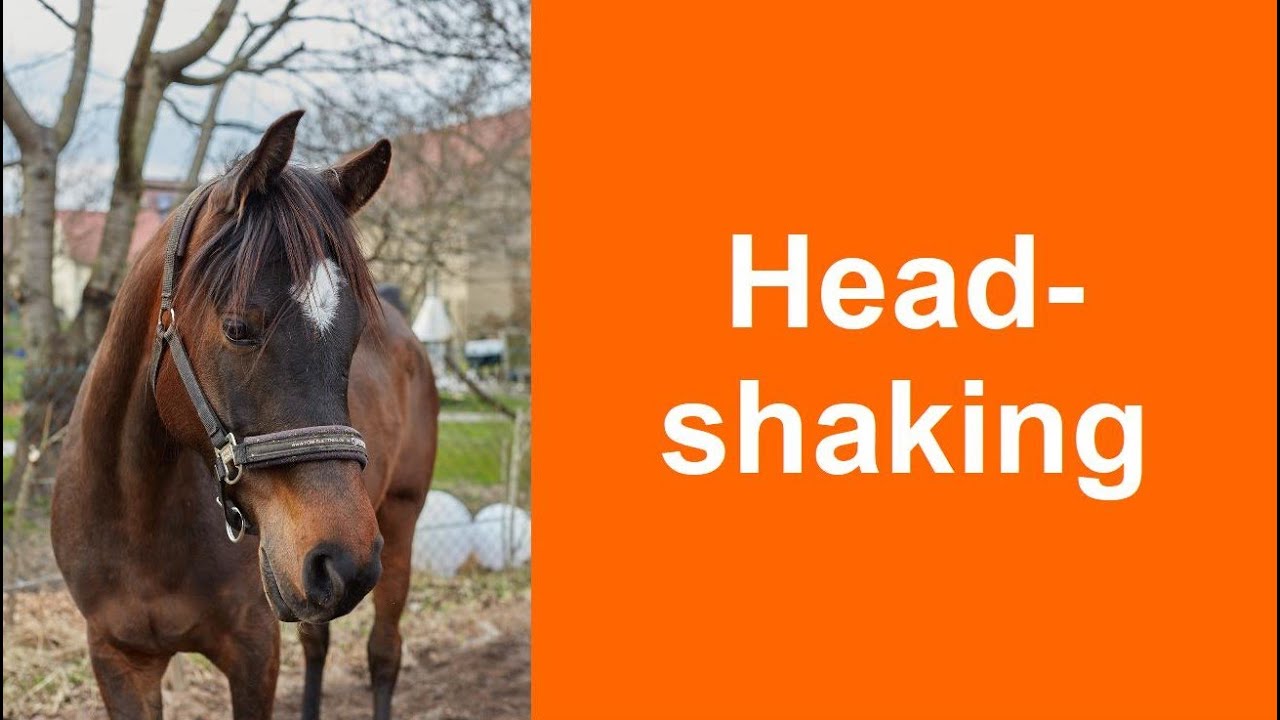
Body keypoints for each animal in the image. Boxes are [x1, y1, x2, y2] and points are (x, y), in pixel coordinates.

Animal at [51, 110, 439, 719]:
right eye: (237, 328)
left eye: (355, 337)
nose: (344, 560)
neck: (138, 519)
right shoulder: (118, 659)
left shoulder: (253, 651)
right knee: (318, 641)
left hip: (398, 524)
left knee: (383, 654)